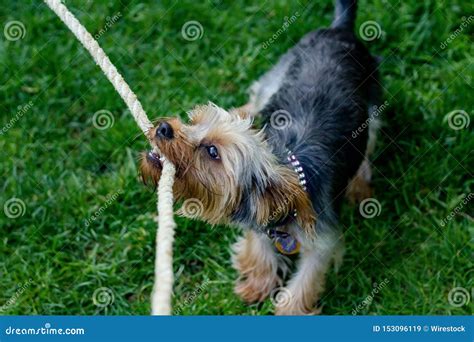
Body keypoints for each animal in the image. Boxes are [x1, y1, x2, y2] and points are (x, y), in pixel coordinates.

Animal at [141, 0, 382, 316]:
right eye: (193, 121)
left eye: (213, 152)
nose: (164, 128)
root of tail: (339, 30)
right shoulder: (259, 221)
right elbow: (260, 249)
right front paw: (258, 283)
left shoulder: (322, 242)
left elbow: (306, 279)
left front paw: (289, 311)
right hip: (277, 77)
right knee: (257, 98)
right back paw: (243, 112)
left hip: (373, 108)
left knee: (369, 144)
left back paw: (359, 186)